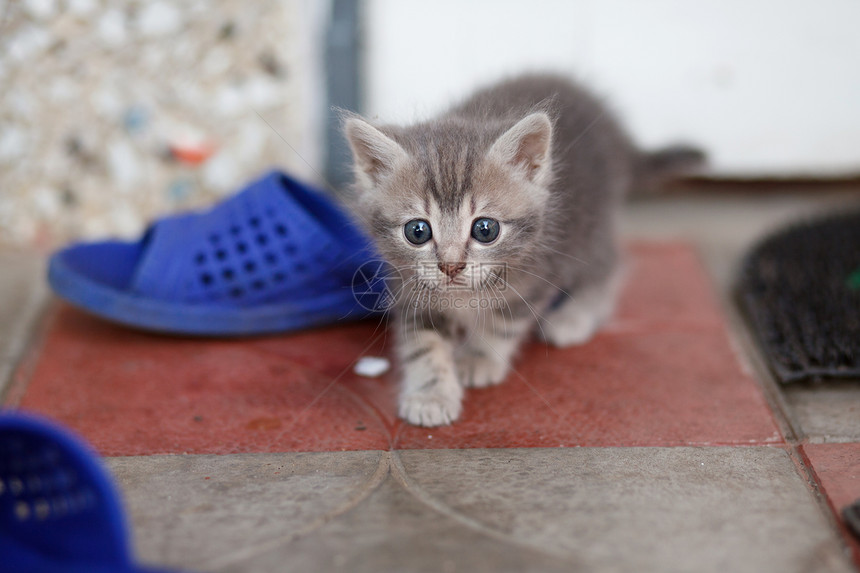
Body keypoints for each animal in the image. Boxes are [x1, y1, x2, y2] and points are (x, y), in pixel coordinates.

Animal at [340, 73, 700, 426]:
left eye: (485, 229)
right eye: (417, 231)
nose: (451, 266)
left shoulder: (534, 276)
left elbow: (500, 324)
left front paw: (478, 358)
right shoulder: (411, 287)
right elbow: (423, 344)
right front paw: (431, 395)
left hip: (591, 224)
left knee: (609, 265)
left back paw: (575, 315)